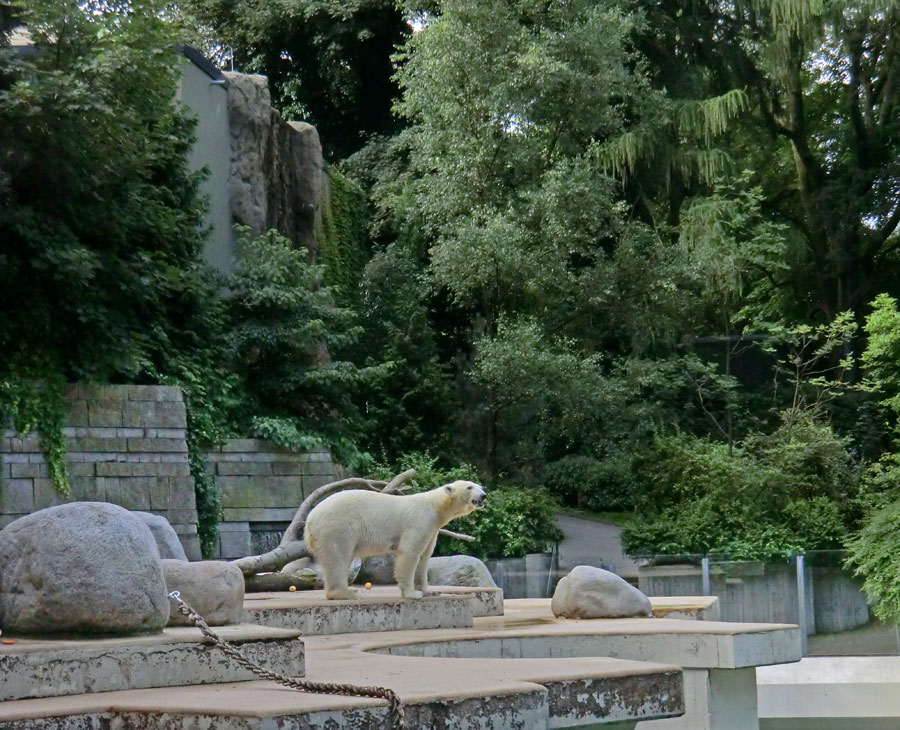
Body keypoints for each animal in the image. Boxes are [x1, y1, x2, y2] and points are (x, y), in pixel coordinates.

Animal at [302, 478, 486, 596]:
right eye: (469, 487)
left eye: (480, 486)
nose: (484, 495)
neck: (435, 506)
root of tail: (309, 519)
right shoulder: (420, 521)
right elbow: (410, 552)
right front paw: (412, 594)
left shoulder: (432, 529)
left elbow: (424, 556)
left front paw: (429, 591)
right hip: (337, 526)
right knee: (339, 556)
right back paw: (347, 592)